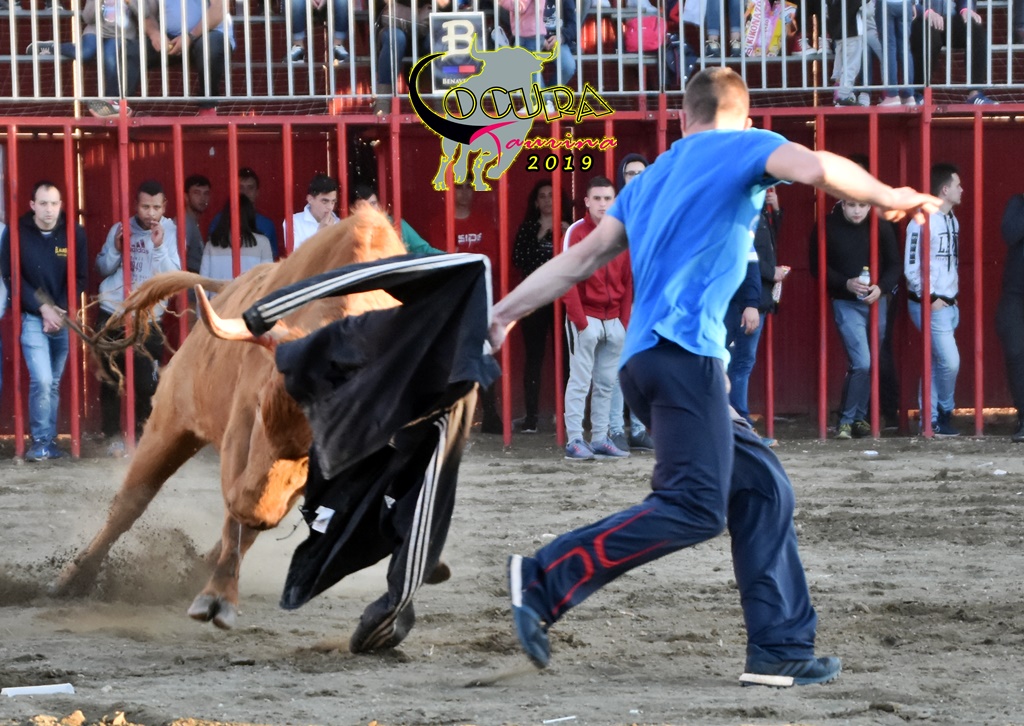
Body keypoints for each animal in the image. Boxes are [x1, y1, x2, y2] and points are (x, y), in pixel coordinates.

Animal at [53, 208, 444, 633]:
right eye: (260, 409)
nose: (253, 504)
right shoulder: (242, 432)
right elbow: (236, 515)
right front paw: (217, 596)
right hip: (169, 423)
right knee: (131, 502)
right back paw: (73, 580)